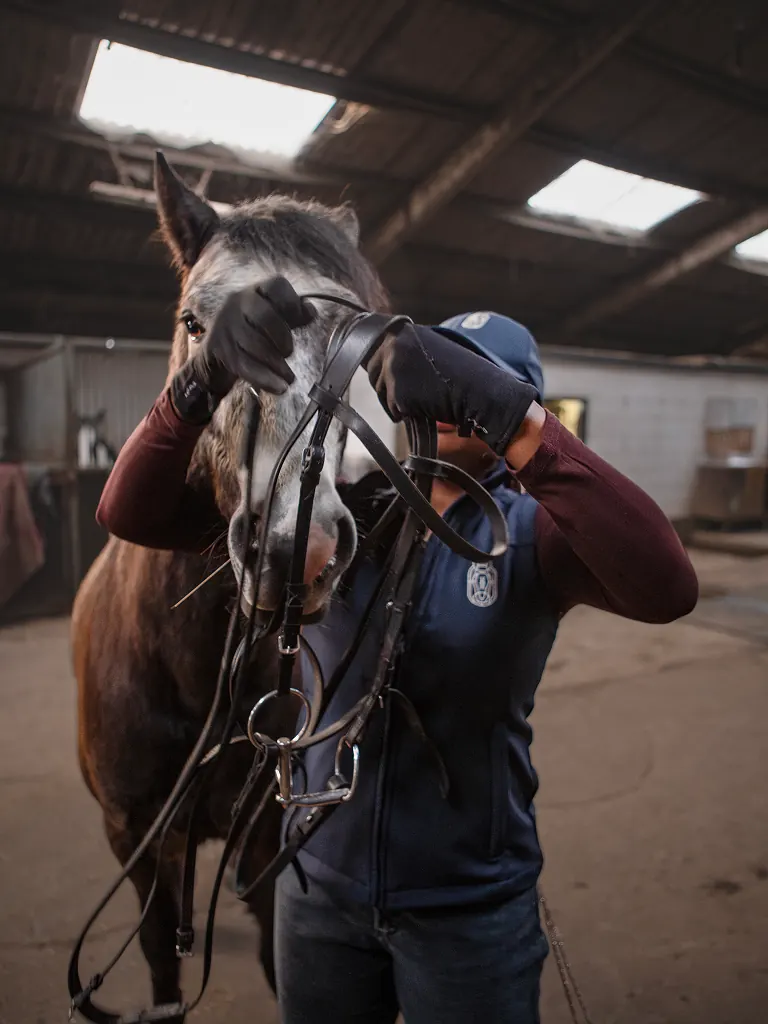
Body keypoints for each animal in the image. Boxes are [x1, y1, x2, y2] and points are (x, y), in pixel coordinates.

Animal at [71, 153, 388, 1014]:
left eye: (360, 338)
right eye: (194, 323)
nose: (295, 546)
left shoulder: (264, 837)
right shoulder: (134, 834)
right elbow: (159, 953)